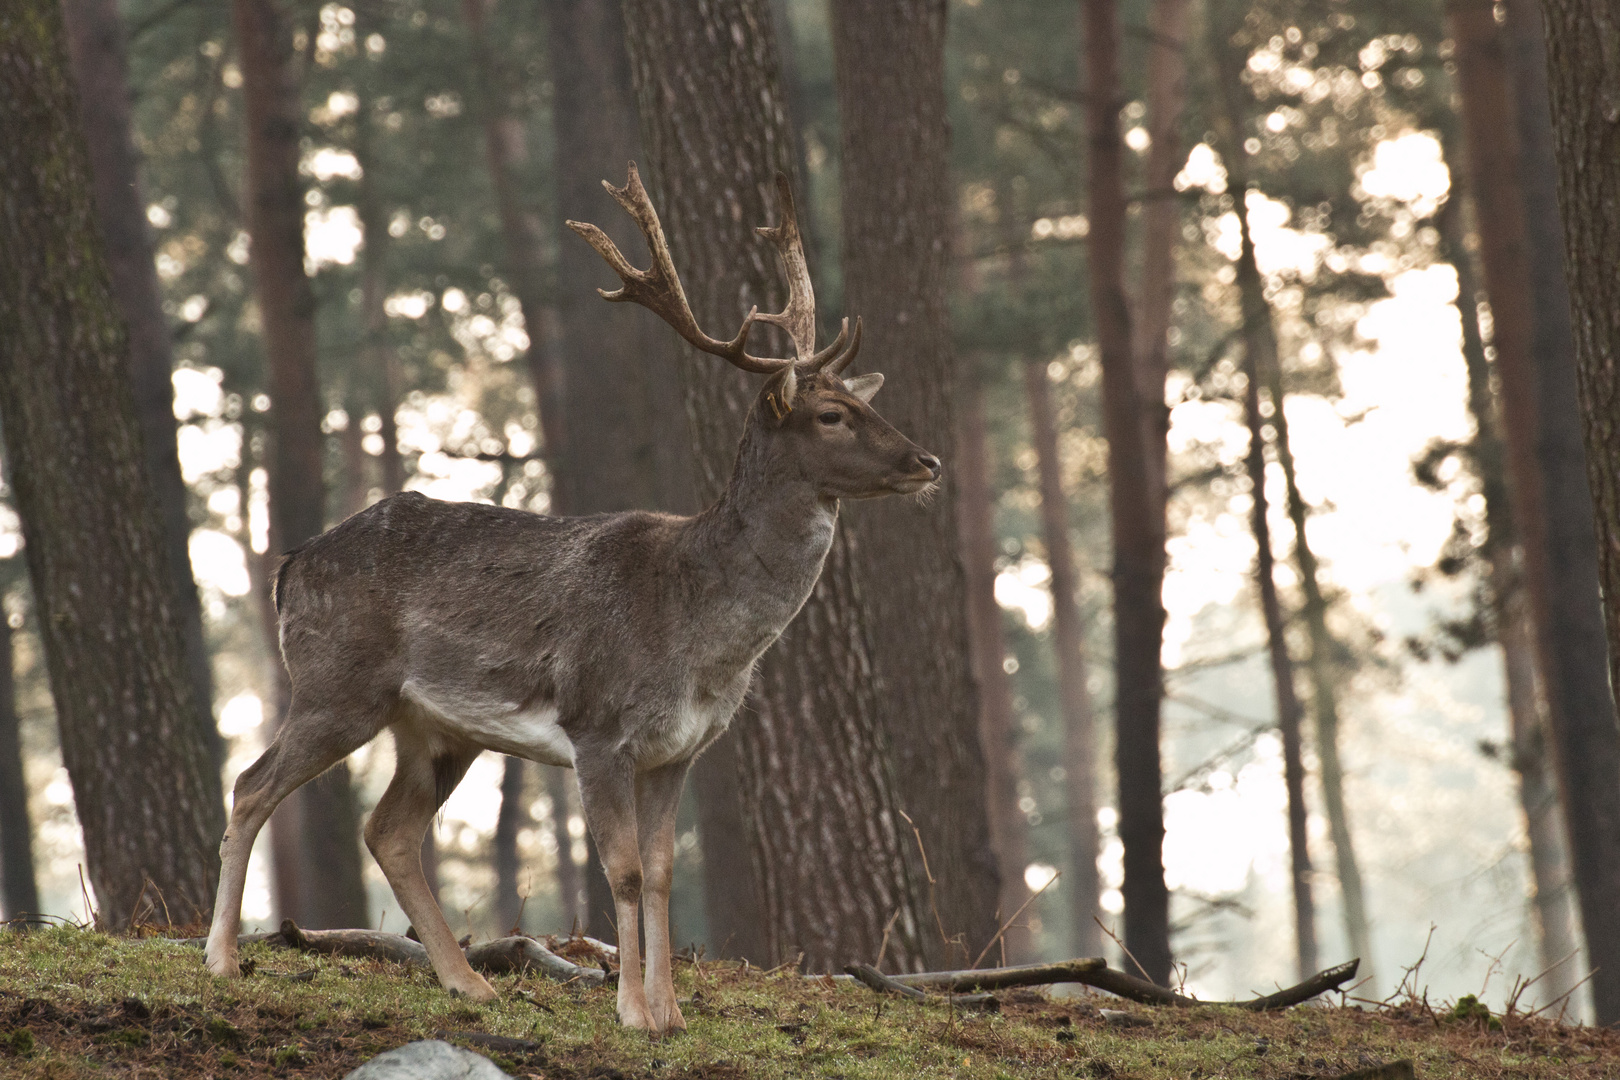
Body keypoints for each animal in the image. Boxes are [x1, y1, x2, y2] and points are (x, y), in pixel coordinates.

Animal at [204, 160, 946, 1029]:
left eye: (869, 403)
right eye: (831, 414)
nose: (927, 461)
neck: (701, 631)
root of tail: (289, 566)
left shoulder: (681, 750)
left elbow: (660, 874)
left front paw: (670, 1014)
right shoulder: (598, 725)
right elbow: (622, 870)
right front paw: (631, 1011)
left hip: (436, 728)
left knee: (387, 829)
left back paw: (469, 981)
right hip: (336, 683)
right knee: (251, 786)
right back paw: (222, 959)